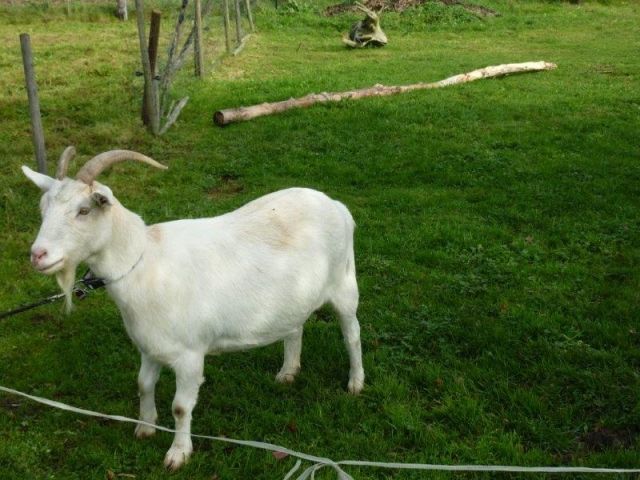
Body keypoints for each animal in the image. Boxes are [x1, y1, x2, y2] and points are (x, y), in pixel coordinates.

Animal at [22, 149, 365, 470]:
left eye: (83, 210)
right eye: (42, 209)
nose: (38, 255)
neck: (144, 261)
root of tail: (336, 205)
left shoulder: (189, 355)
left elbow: (181, 407)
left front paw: (178, 454)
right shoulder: (150, 346)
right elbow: (143, 384)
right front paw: (145, 428)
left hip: (344, 283)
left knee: (352, 334)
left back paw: (355, 383)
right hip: (294, 296)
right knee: (295, 326)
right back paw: (288, 372)